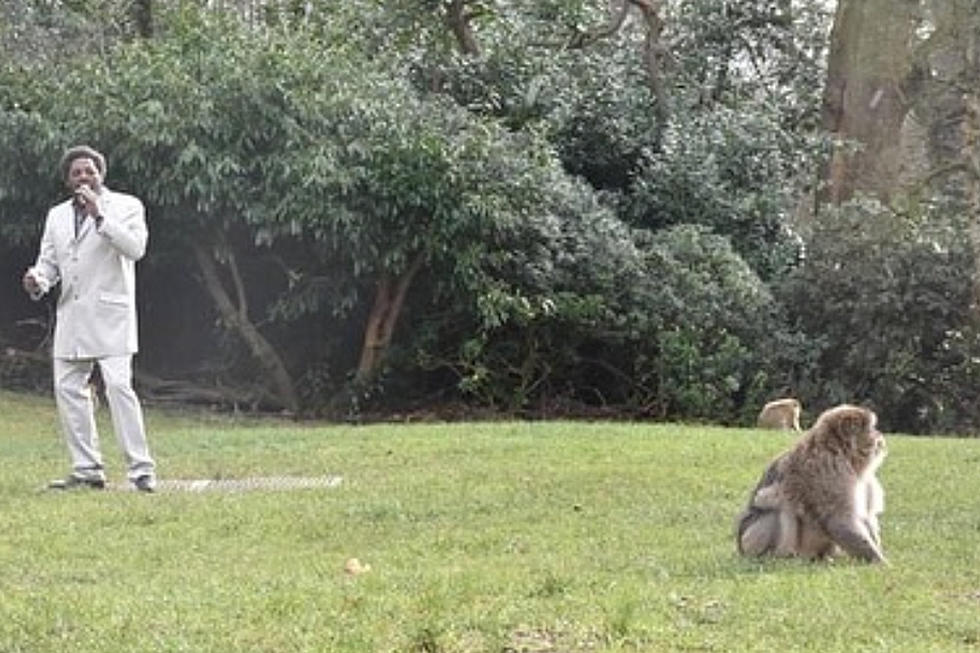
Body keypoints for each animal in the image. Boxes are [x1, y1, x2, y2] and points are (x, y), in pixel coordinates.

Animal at [736, 402, 888, 560]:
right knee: (775, 505)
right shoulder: (830, 472)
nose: (880, 436)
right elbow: (838, 520)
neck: (843, 454)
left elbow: (866, 517)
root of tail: (740, 547)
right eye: (872, 428)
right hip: (750, 540)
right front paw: (881, 562)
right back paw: (781, 556)